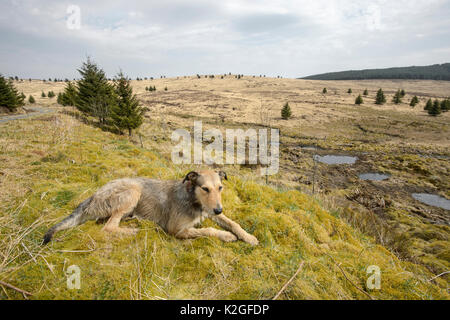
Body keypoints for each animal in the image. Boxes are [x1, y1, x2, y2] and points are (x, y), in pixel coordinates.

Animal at [43, 171, 260, 246]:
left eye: (220, 187)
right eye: (205, 188)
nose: (218, 210)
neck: (193, 199)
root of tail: (94, 195)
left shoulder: (211, 212)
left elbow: (233, 223)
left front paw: (248, 236)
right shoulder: (177, 230)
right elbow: (207, 230)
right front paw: (227, 236)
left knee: (104, 221)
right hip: (133, 191)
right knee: (109, 228)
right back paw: (133, 230)